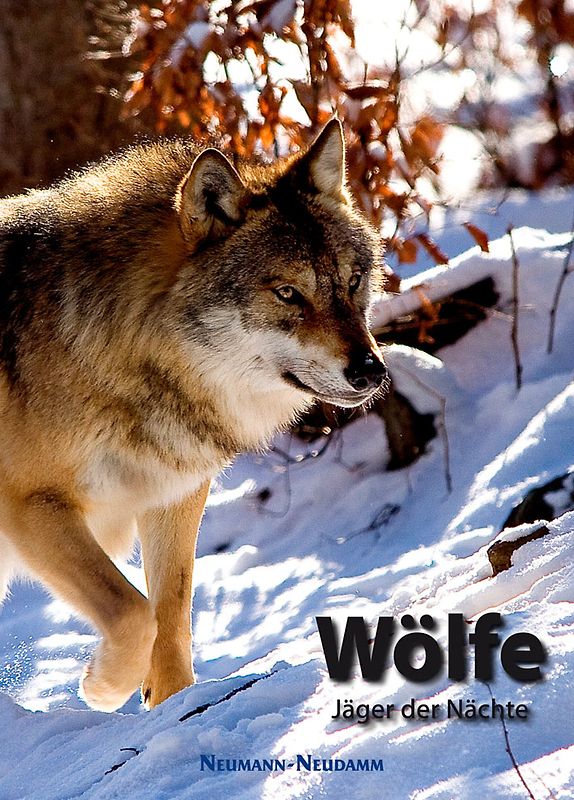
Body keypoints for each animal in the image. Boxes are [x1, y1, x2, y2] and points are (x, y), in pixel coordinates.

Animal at [0, 119, 387, 711]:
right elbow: (133, 613)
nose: (371, 371)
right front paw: (101, 688)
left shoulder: (170, 493)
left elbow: (171, 614)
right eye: (288, 293)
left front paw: (170, 706)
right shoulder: (32, 506)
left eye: (351, 283)